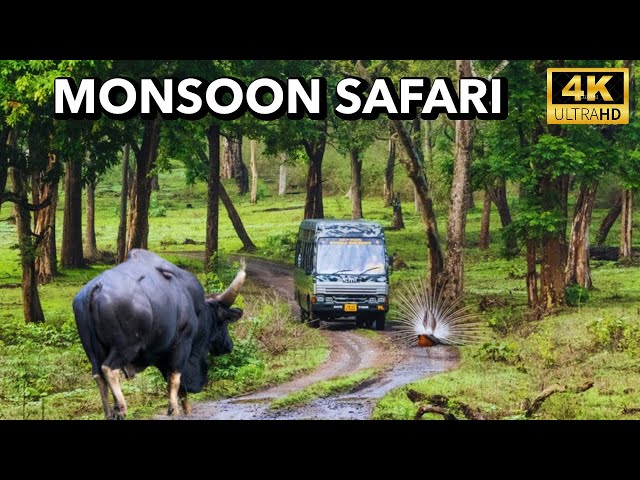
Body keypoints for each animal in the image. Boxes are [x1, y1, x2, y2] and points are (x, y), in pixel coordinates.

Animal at [73, 249, 245, 418]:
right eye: (222, 321)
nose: (229, 345)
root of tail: (96, 287)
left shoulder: (162, 356)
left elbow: (177, 385)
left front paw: (185, 409)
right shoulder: (182, 344)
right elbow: (175, 378)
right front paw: (174, 409)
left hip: (93, 352)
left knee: (98, 376)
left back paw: (109, 412)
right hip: (125, 348)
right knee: (109, 368)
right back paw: (121, 407)